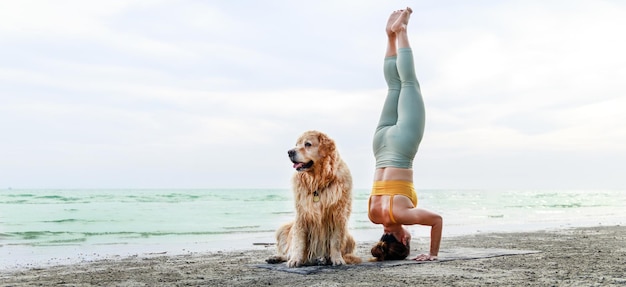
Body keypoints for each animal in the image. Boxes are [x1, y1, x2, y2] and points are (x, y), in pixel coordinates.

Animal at [264, 130, 360, 268]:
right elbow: (298, 242)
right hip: (283, 229)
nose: (289, 152)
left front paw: (337, 259)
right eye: (296, 144)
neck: (317, 182)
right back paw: (276, 257)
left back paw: (322, 259)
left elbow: (335, 242)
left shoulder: (338, 215)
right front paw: (295, 259)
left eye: (307, 144)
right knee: (287, 253)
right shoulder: (302, 215)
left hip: (350, 238)